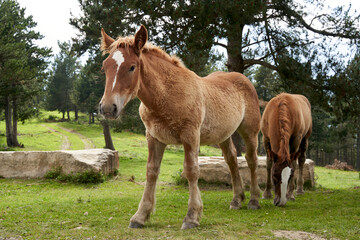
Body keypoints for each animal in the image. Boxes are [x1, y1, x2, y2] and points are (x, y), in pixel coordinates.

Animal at [98, 25, 262, 230]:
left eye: (132, 67)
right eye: (105, 67)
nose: (107, 108)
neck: (167, 95)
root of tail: (244, 79)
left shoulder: (190, 136)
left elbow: (191, 171)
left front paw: (192, 217)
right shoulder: (154, 137)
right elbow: (151, 172)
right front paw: (140, 216)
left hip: (250, 131)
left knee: (251, 160)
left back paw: (254, 200)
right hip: (223, 135)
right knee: (231, 159)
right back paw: (237, 200)